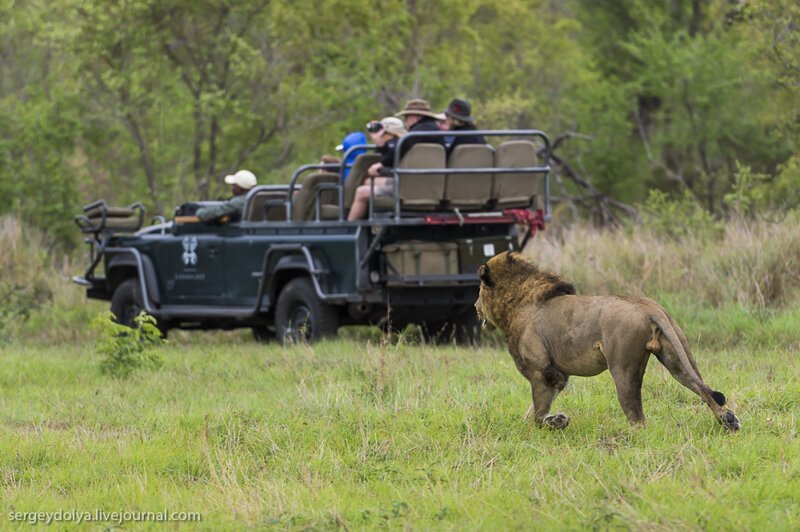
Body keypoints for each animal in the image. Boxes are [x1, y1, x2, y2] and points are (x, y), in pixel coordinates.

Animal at [476, 250, 744, 432]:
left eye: (478, 291)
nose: (475, 307)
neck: (515, 305)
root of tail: (649, 306)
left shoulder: (543, 372)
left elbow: (537, 414)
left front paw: (556, 421)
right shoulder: (554, 375)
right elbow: (531, 413)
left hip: (623, 369)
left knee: (638, 419)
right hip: (677, 357)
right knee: (705, 389)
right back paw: (728, 420)